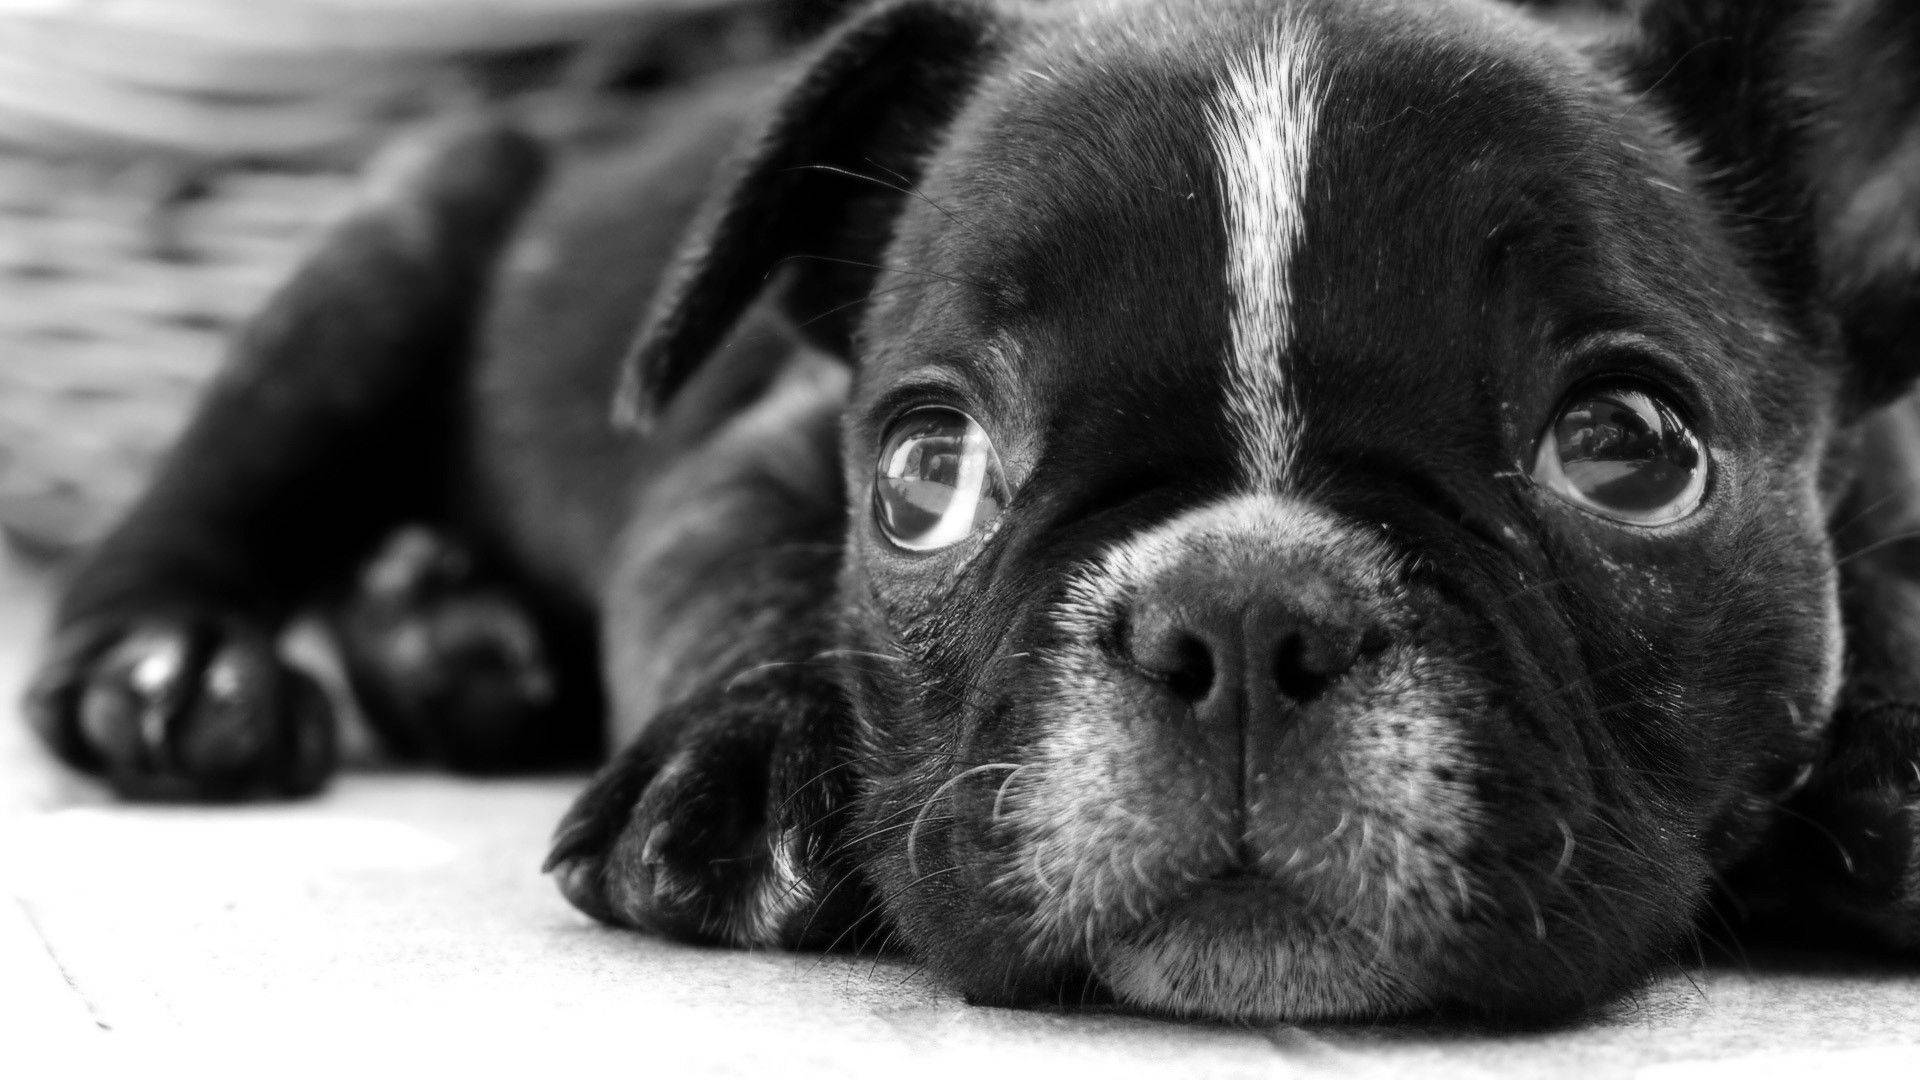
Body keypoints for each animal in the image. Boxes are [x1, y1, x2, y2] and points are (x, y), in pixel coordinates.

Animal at [22, 0, 1920, 1022]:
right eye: (928, 474)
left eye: (1628, 451)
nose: (1241, 608)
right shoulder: (746, 461)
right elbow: (746, 582)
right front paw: (747, 763)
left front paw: (1888, 737)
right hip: (392, 250)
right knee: (203, 504)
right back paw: (178, 676)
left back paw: (451, 642)